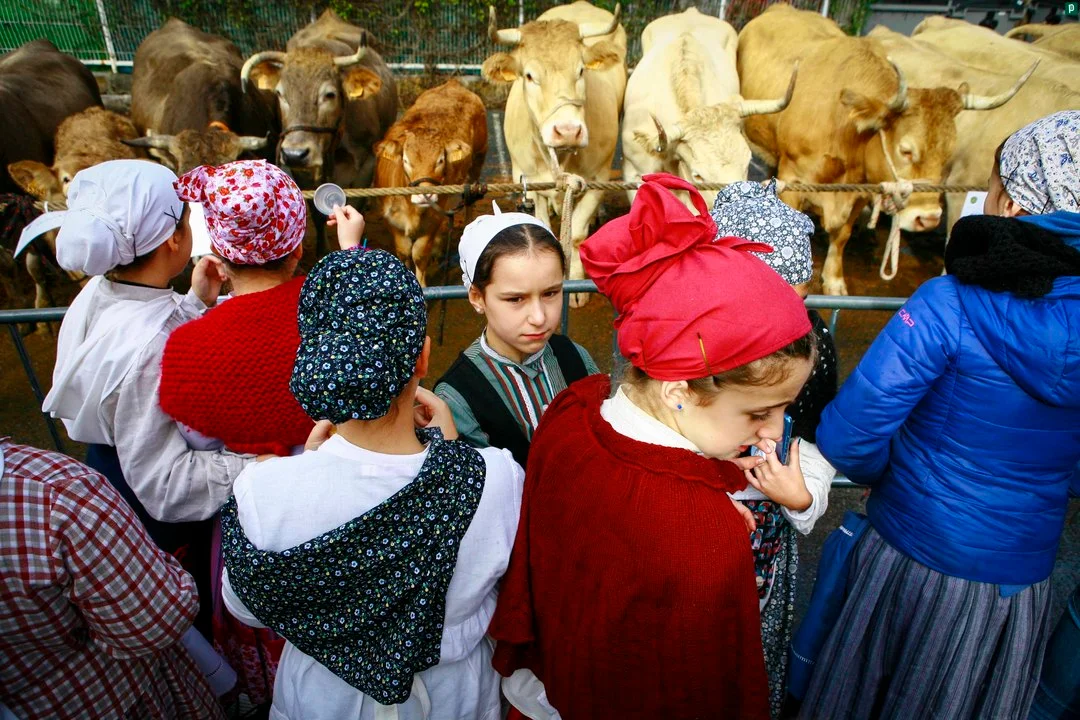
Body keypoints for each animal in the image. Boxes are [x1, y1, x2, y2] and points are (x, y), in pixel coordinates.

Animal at [374, 79, 488, 287]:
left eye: (440, 160)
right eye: (406, 160)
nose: (425, 195)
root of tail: (453, 84)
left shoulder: (433, 221)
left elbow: (419, 254)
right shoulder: (391, 221)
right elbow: (404, 252)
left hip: (478, 159)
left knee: (469, 202)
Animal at [483, 1, 626, 307]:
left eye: (581, 70)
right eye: (529, 75)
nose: (568, 130)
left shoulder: (599, 178)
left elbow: (577, 235)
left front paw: (576, 289)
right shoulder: (527, 178)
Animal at [738, 4, 1030, 295]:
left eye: (948, 153)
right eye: (906, 150)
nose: (929, 218)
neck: (844, 127)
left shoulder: (860, 190)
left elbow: (842, 235)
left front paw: (834, 280)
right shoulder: (794, 180)